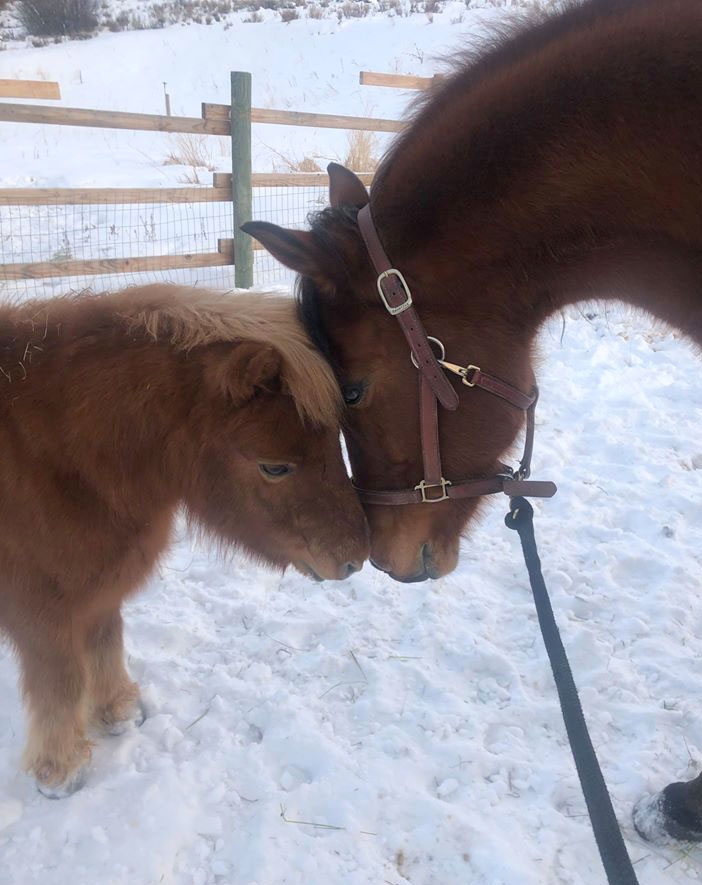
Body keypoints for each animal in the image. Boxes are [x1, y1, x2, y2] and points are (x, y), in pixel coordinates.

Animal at [0, 286, 372, 796]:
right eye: (274, 466)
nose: (355, 558)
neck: (56, 455)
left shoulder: (99, 588)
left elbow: (105, 640)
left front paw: (117, 711)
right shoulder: (41, 612)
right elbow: (61, 681)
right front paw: (60, 771)